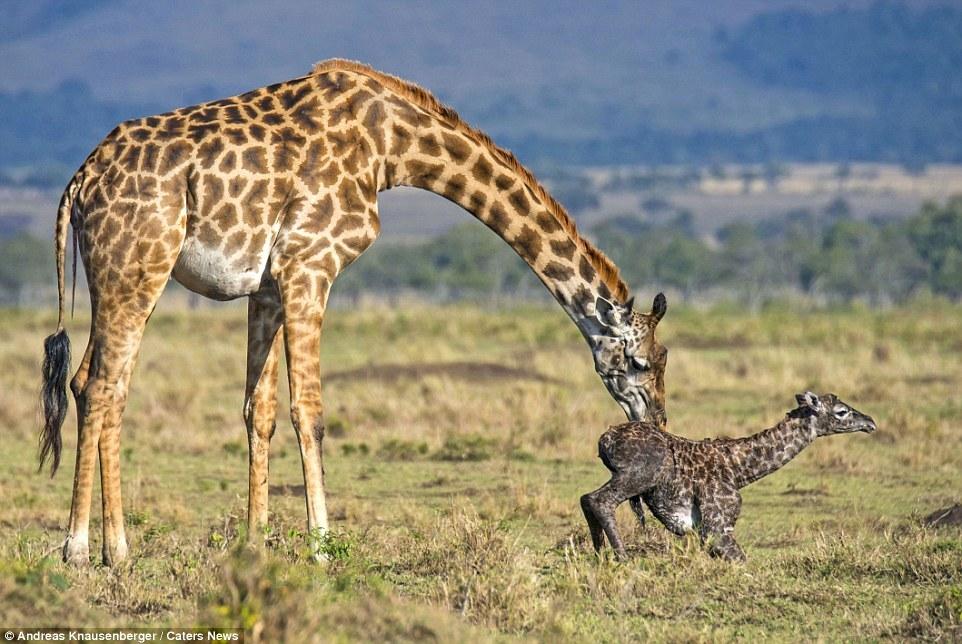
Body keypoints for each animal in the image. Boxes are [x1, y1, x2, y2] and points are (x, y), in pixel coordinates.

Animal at [39, 59, 668, 564]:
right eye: (642, 362)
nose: (657, 419)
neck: (390, 146)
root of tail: (80, 181)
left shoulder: (268, 286)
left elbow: (259, 411)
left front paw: (254, 546)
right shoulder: (309, 265)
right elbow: (310, 411)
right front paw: (321, 549)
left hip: (113, 277)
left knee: (86, 381)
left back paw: (102, 546)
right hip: (137, 269)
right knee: (106, 387)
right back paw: (91, 550)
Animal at [580, 390, 872, 560]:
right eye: (842, 412)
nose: (870, 422)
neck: (739, 470)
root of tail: (605, 439)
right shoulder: (716, 526)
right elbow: (742, 560)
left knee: (586, 498)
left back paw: (598, 555)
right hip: (641, 474)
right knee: (599, 500)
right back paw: (622, 558)